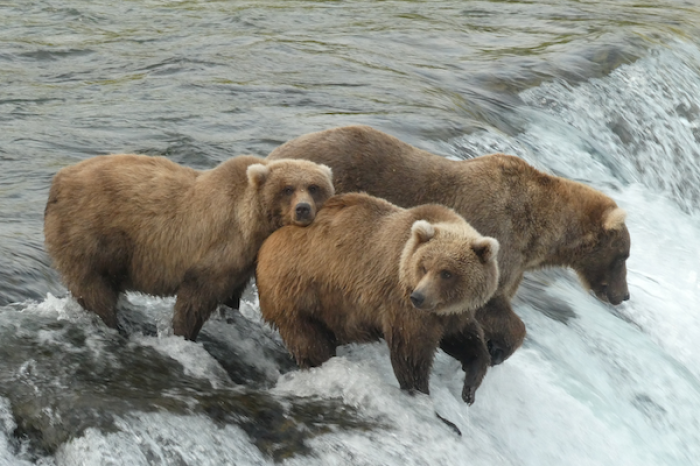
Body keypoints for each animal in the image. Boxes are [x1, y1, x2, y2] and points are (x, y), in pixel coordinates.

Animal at [44, 153, 334, 341]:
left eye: (313, 187)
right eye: (287, 188)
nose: (303, 209)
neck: (253, 224)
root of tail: (58, 180)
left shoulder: (242, 261)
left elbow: (231, 293)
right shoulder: (219, 247)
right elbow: (196, 296)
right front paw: (184, 333)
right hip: (91, 233)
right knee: (93, 287)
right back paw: (111, 323)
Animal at [256, 192, 500, 404]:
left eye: (447, 273)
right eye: (424, 266)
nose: (418, 297)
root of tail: (268, 242)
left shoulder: (452, 313)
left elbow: (465, 340)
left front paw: (470, 387)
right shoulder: (404, 307)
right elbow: (411, 354)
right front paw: (420, 391)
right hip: (298, 292)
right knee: (309, 341)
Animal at [267, 125, 631, 365]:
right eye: (623, 256)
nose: (624, 295)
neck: (538, 232)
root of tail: (274, 155)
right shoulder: (496, 234)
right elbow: (491, 305)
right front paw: (498, 350)